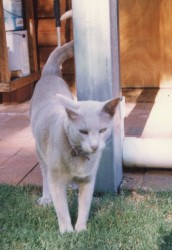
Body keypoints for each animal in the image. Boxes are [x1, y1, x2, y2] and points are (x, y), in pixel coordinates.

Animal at [30, 40, 119, 233]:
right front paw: (67, 232)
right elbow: (62, 209)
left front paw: (81, 230)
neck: (79, 157)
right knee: (44, 174)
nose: (94, 146)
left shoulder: (89, 181)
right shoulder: (56, 182)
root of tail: (50, 73)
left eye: (102, 130)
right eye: (83, 131)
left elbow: (84, 206)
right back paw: (46, 198)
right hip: (40, 152)